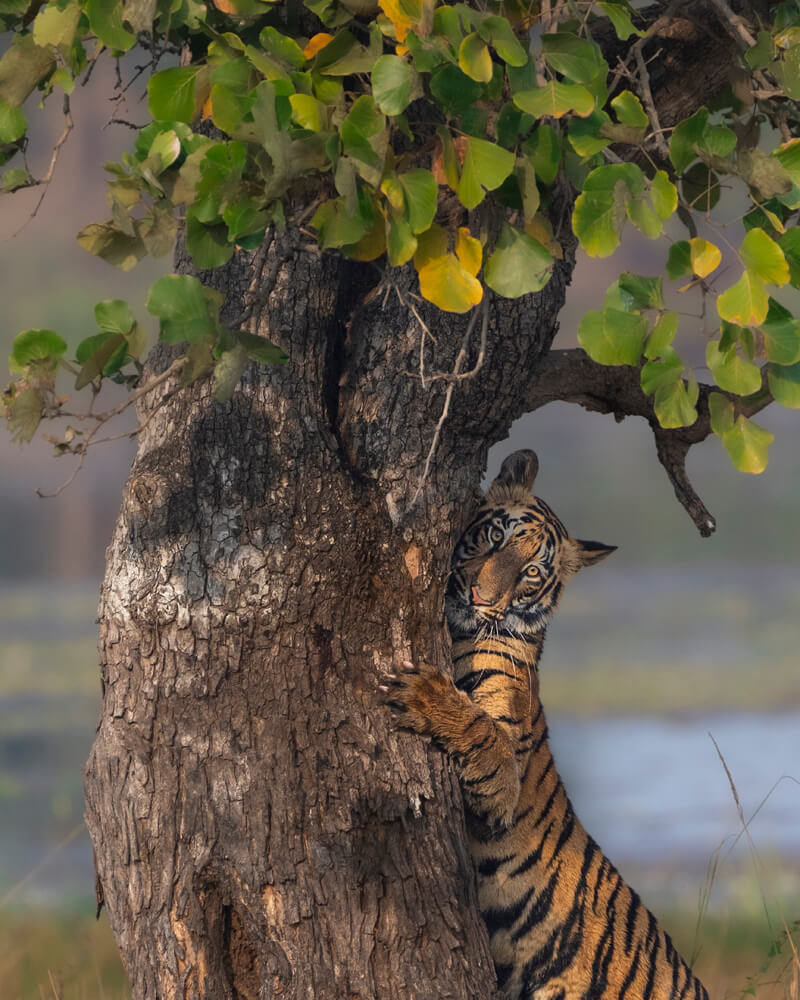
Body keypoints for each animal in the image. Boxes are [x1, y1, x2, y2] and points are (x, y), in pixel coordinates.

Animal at [384, 449, 710, 1000]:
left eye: (531, 572)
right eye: (496, 535)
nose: (478, 596)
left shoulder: (501, 790)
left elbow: (484, 732)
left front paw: (425, 695)